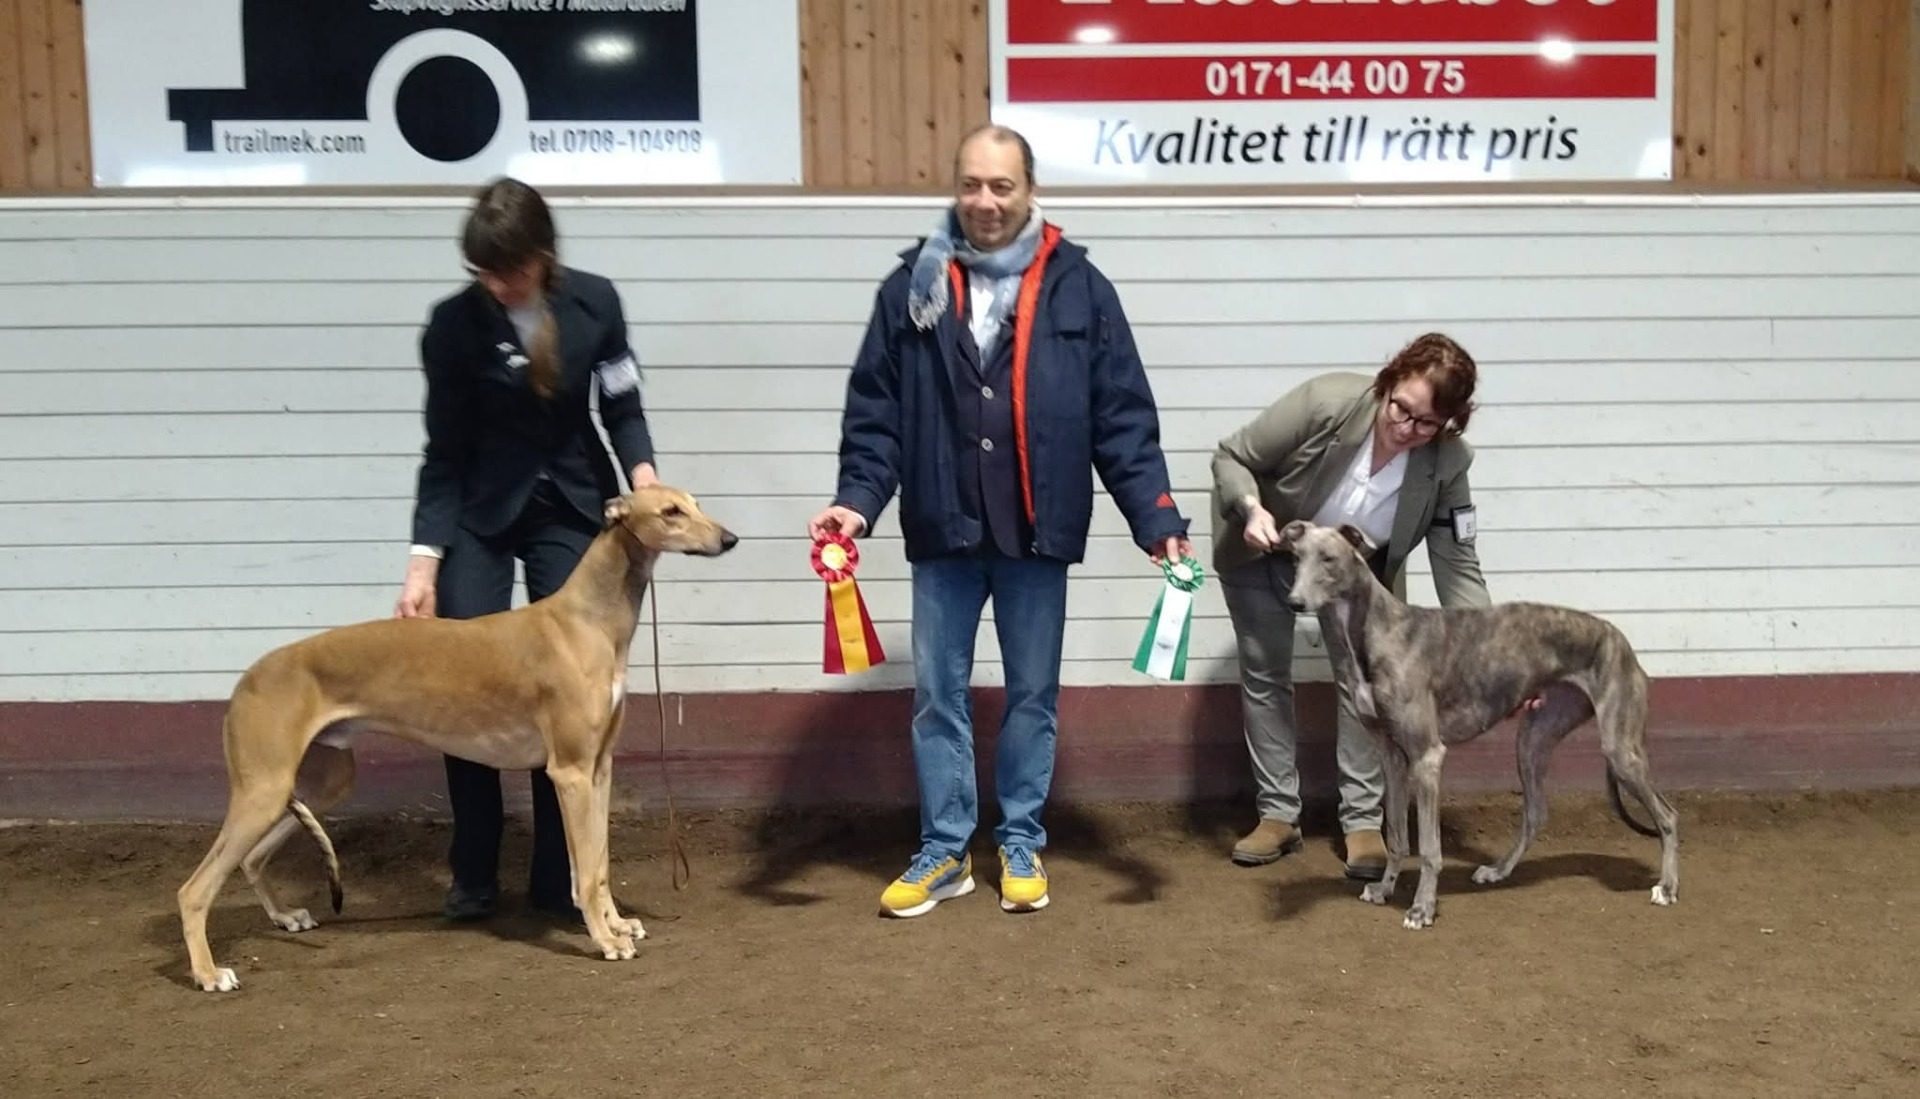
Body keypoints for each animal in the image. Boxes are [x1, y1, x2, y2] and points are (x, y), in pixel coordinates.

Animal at [175, 484, 737, 992]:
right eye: (670, 511)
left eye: (695, 502)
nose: (730, 539)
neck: (587, 620)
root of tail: (246, 679)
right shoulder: (570, 772)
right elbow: (583, 870)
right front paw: (605, 940)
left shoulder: (599, 770)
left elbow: (598, 865)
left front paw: (618, 925)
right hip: (264, 788)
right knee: (194, 888)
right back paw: (208, 974)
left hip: (319, 782)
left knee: (250, 857)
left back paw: (286, 916)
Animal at [1274, 520, 1679, 930]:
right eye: (1296, 558)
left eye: (1329, 558)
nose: (1294, 602)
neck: (1379, 631)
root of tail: (1621, 642)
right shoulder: (1391, 755)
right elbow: (1398, 837)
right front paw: (1384, 889)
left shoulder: (1427, 756)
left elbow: (1430, 849)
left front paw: (1421, 909)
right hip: (1532, 739)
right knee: (1535, 814)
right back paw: (1497, 871)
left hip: (1619, 749)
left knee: (1668, 815)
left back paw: (1667, 887)